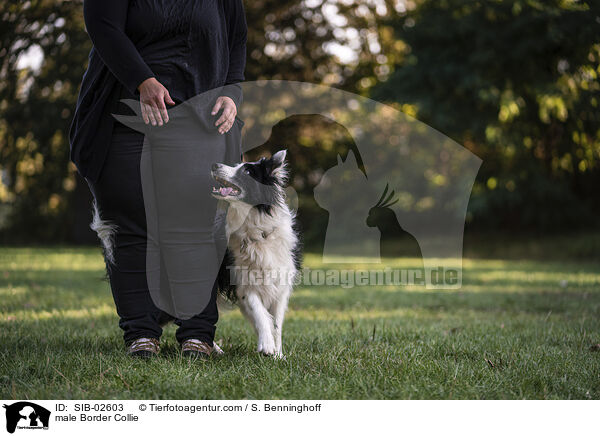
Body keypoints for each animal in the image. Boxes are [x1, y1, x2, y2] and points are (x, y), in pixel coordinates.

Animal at [213, 150, 302, 358]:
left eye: (247, 171)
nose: (214, 165)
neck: (257, 230)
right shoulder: (244, 282)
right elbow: (259, 312)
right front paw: (267, 345)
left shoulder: (281, 285)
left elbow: (276, 323)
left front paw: (278, 355)